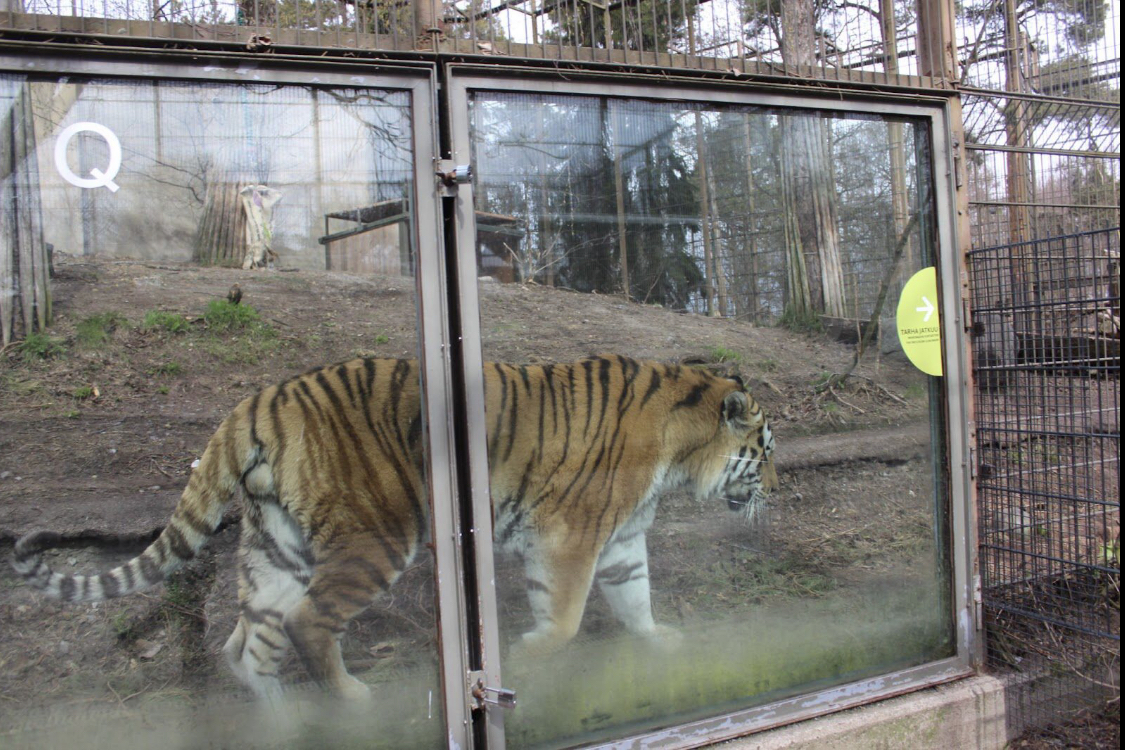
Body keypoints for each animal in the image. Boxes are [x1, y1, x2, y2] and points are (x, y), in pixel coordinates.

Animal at [12, 355, 777, 704]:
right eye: (766, 450)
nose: (773, 490)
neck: (679, 451)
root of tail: (261, 398)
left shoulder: (616, 540)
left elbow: (634, 595)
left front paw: (659, 642)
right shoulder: (569, 535)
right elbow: (563, 618)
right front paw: (524, 659)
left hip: (277, 547)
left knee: (246, 645)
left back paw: (291, 722)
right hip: (374, 537)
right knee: (307, 624)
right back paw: (352, 701)